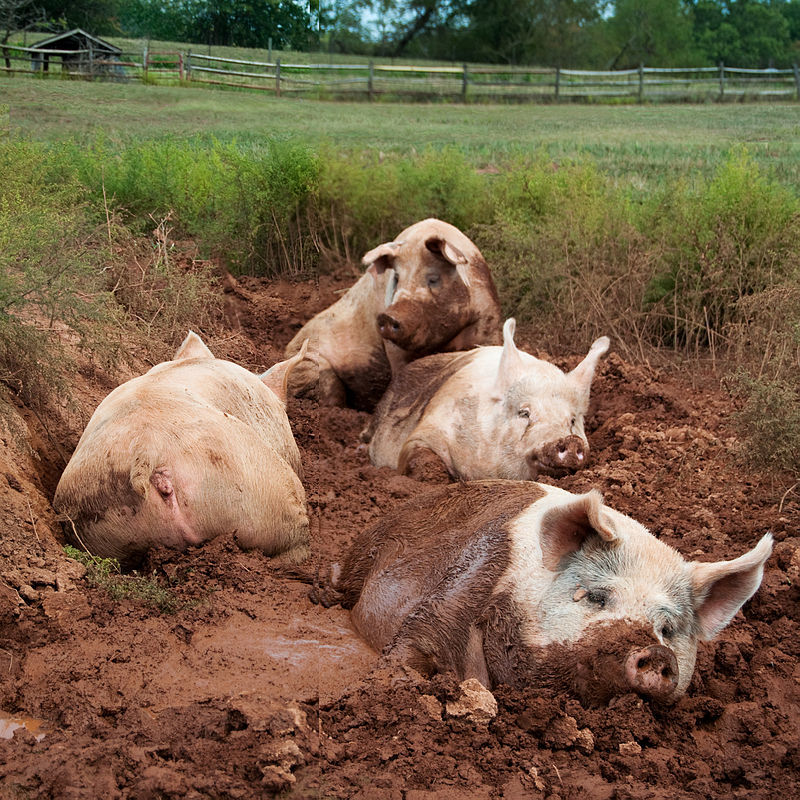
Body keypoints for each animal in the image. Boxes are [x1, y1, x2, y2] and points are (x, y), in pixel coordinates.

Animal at [284, 219, 504, 412]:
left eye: (433, 278)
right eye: (397, 278)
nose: (387, 317)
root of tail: (286, 350)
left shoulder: (488, 323)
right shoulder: (393, 349)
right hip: (312, 365)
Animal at [310, 478, 772, 704]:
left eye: (668, 630)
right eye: (597, 596)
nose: (656, 654)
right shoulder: (459, 588)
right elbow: (412, 646)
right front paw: (383, 687)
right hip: (364, 554)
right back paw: (319, 593)